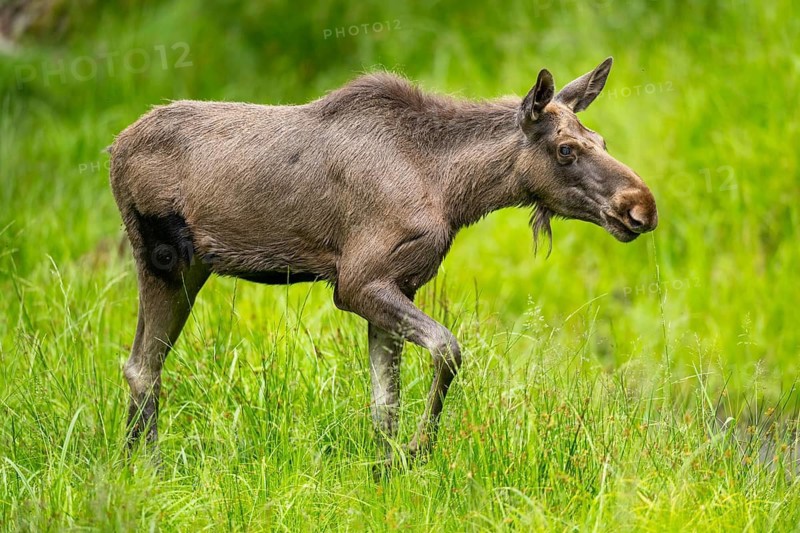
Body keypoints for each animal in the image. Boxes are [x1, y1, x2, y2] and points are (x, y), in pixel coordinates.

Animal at [109, 57, 657, 473]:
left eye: (602, 141)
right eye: (565, 149)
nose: (642, 207)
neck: (454, 191)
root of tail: (113, 150)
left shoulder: (399, 285)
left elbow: (384, 401)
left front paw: (385, 466)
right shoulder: (356, 283)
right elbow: (447, 350)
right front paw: (415, 450)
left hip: (190, 268)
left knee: (139, 363)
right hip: (163, 258)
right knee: (143, 367)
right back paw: (149, 468)